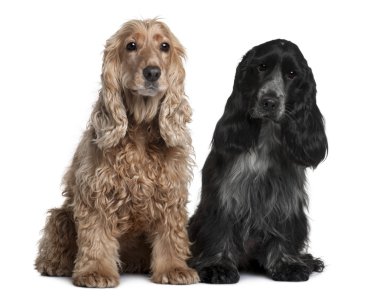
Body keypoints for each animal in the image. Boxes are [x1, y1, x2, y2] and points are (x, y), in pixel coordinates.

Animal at [35, 18, 199, 286]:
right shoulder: (97, 193)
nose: (152, 72)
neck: (141, 130)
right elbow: (96, 236)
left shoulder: (170, 191)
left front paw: (174, 269)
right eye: (131, 45)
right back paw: (53, 264)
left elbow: (170, 232)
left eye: (164, 46)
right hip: (62, 215)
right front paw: (95, 272)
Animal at [189, 38, 328, 282]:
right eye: (261, 67)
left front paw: (287, 264)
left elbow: (283, 228)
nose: (269, 102)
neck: (266, 137)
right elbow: (220, 227)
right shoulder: (224, 194)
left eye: (292, 74)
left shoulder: (286, 197)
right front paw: (218, 266)